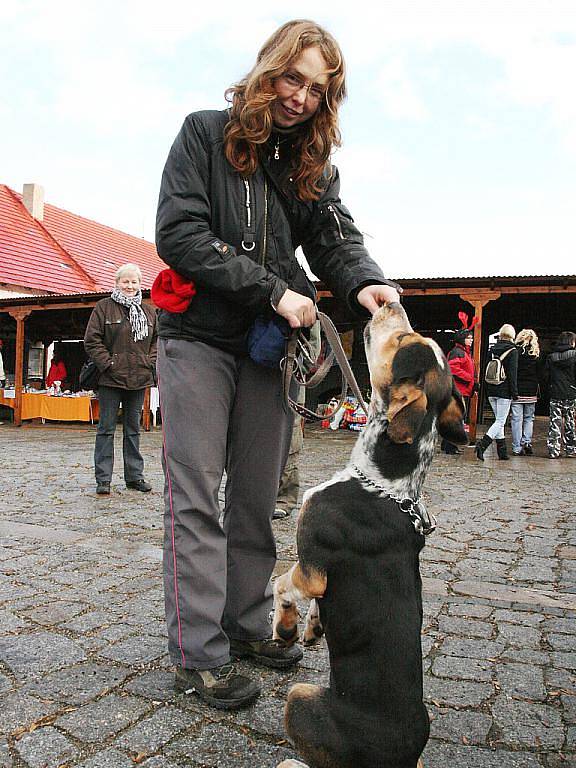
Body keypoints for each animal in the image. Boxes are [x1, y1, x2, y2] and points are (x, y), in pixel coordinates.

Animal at [274, 304, 468, 768]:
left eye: (402, 341)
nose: (388, 301)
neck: (386, 485)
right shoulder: (321, 579)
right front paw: (312, 627)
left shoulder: (312, 570)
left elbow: (281, 584)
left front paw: (286, 627)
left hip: (299, 696)